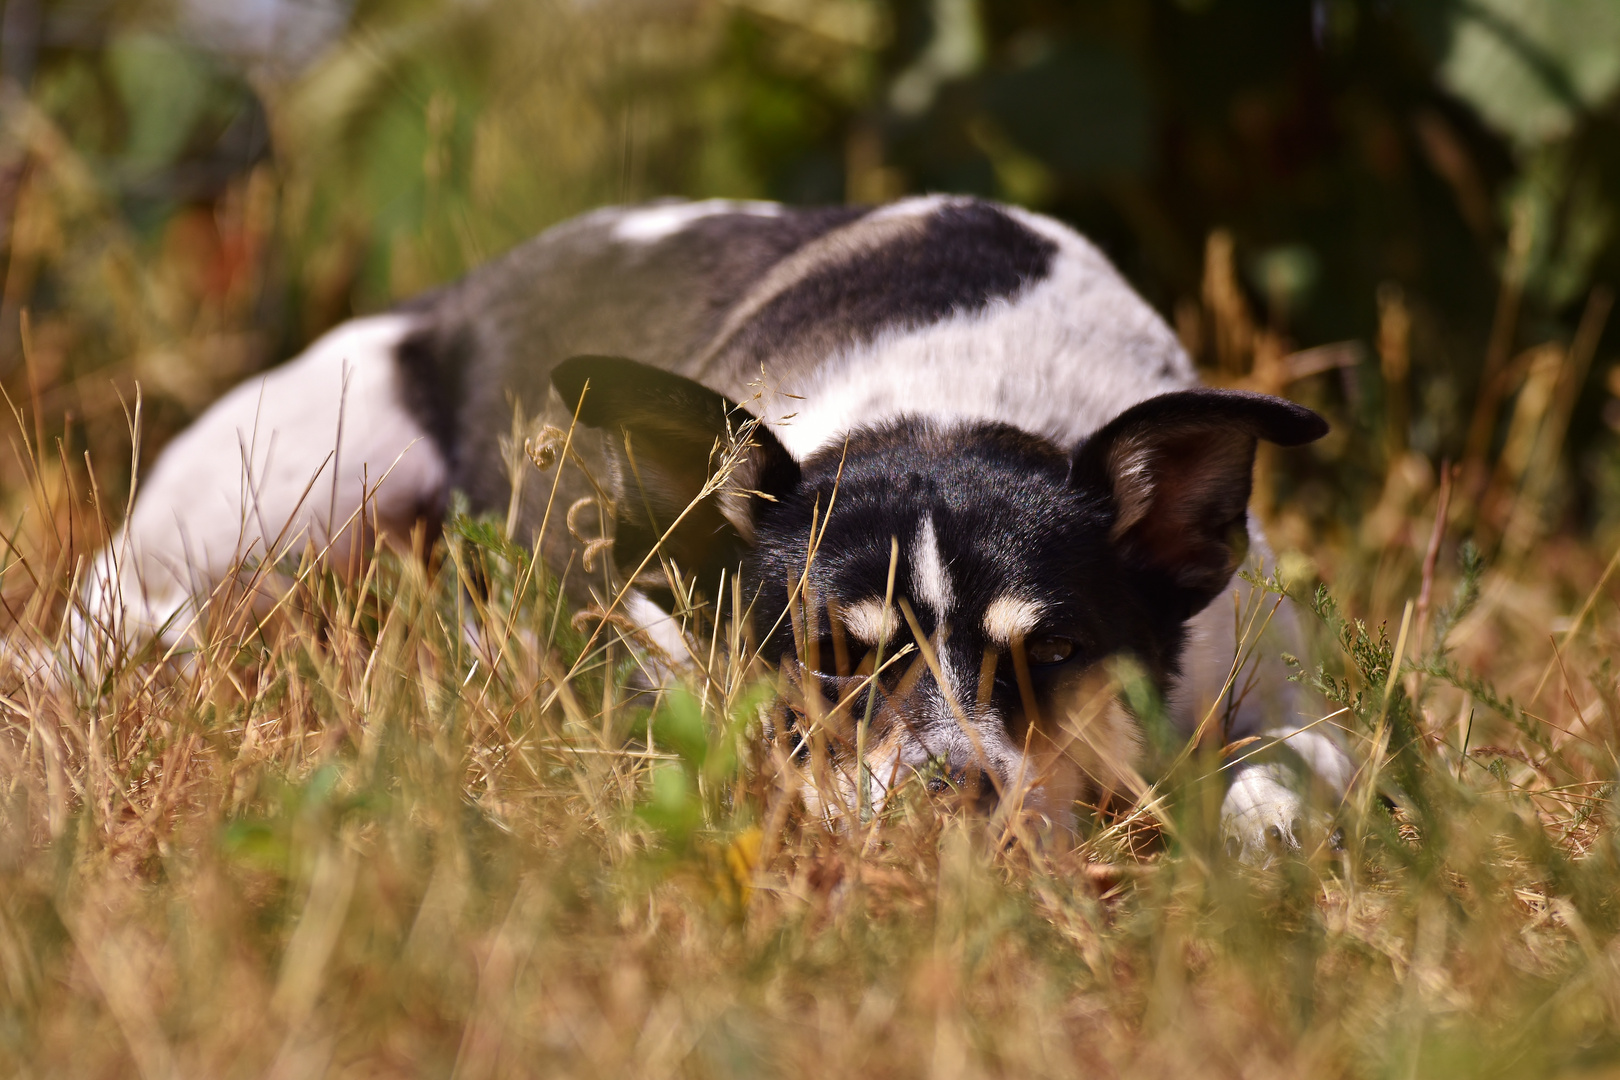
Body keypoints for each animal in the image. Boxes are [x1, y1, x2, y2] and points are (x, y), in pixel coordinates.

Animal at [69, 196, 1354, 861]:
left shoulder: (1267, 671)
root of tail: (446, 305)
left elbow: (1301, 761)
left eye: (1058, 654)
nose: (950, 796)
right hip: (302, 473)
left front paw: (1263, 829)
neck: (948, 402)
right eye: (830, 659)